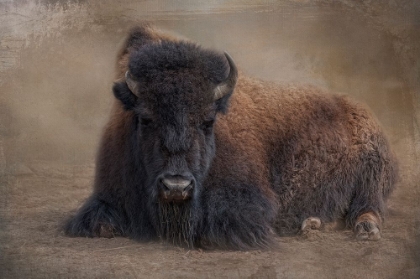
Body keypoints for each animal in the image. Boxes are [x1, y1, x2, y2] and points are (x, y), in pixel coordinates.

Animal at [65, 25, 398, 250]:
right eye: (145, 118)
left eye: (208, 121)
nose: (176, 186)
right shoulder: (107, 198)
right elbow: (102, 224)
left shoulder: (245, 201)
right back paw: (310, 224)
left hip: (371, 179)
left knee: (368, 207)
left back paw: (365, 229)